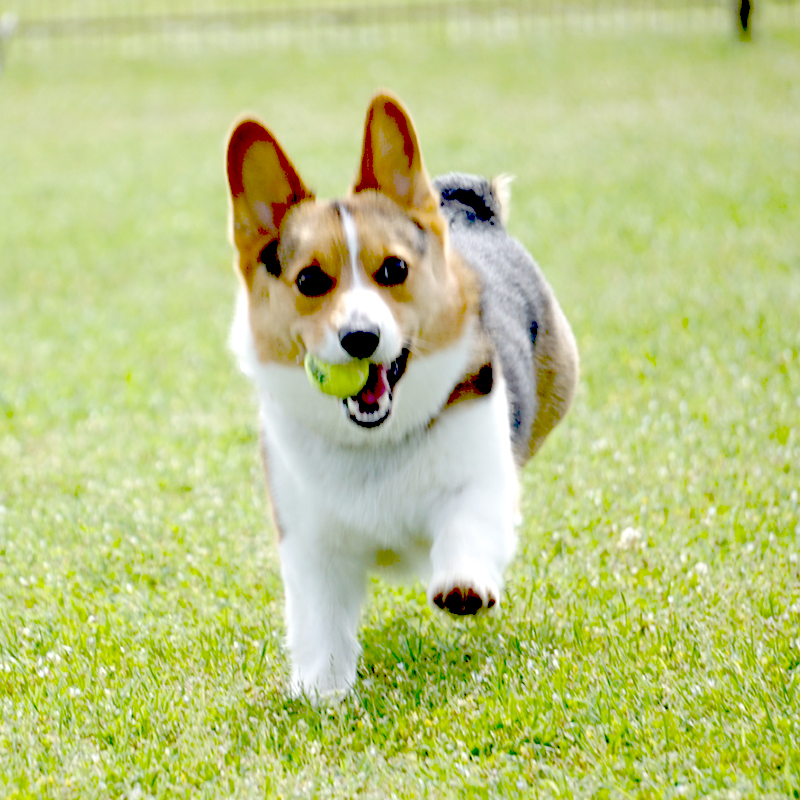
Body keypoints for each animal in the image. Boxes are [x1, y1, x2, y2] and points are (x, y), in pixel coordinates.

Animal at [223, 90, 576, 696]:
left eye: (393, 269)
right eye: (310, 281)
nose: (360, 337)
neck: (375, 443)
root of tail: (471, 208)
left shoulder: (482, 478)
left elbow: (467, 523)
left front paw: (463, 584)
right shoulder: (310, 543)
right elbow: (319, 620)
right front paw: (322, 691)